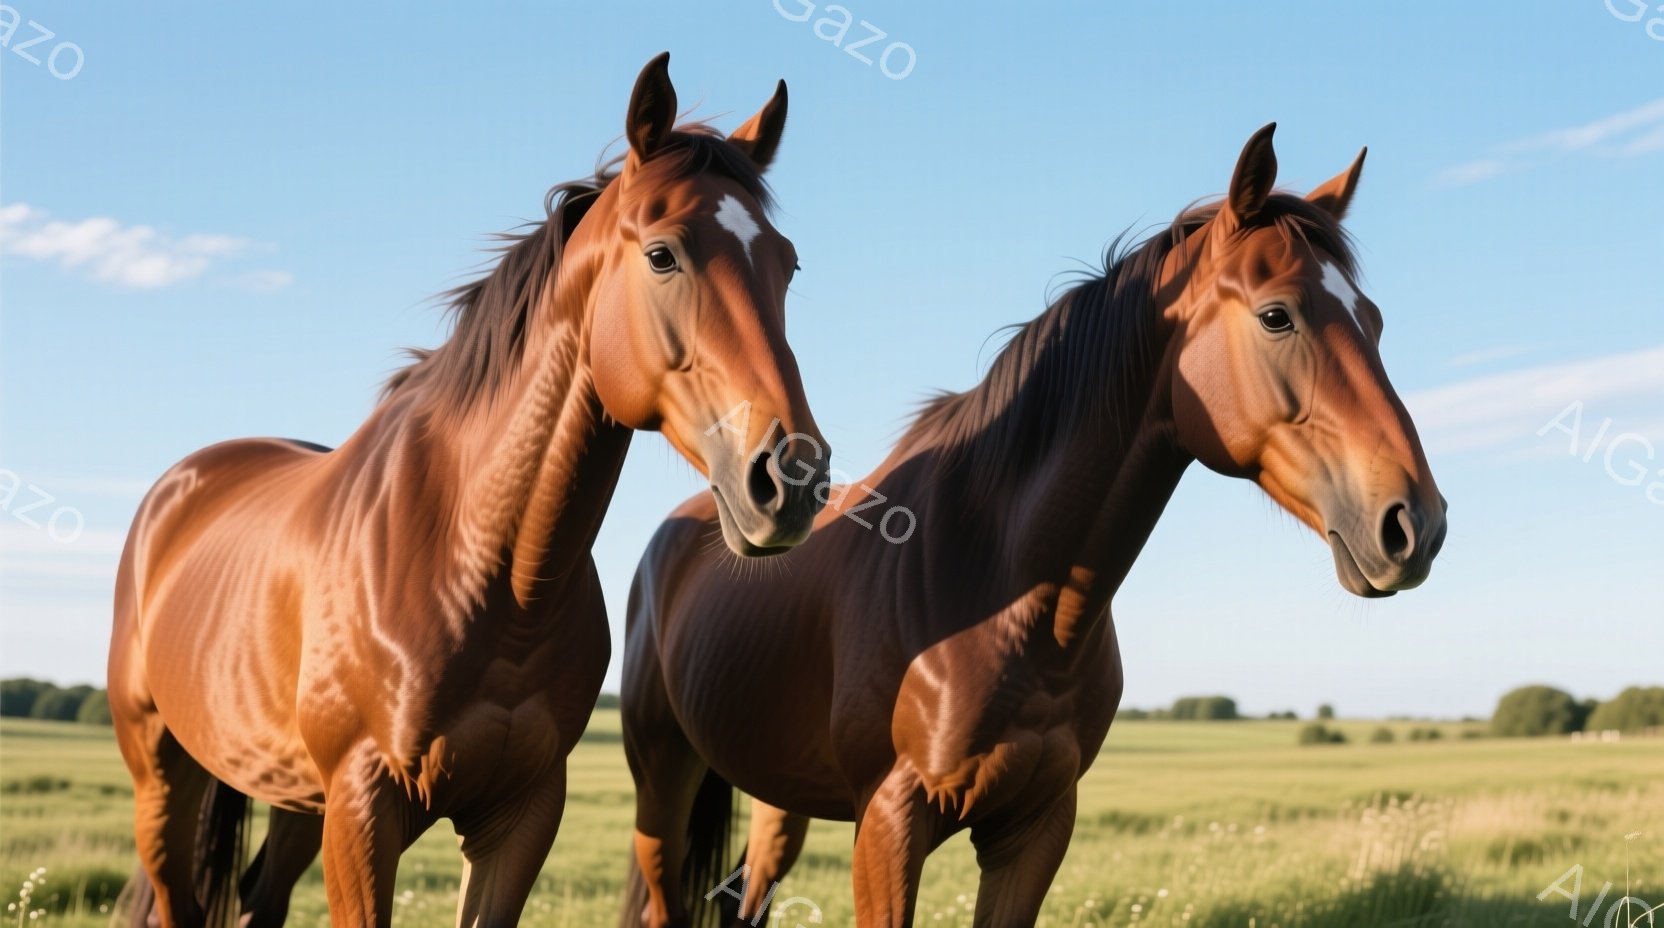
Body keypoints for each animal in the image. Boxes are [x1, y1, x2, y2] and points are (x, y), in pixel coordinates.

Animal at [107, 52, 830, 928]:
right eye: (664, 254)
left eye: (788, 263)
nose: (791, 478)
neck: (484, 568)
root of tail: (183, 487)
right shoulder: (364, 808)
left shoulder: (518, 816)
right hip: (163, 775)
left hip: (295, 802)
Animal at [619, 124, 1449, 928]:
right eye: (1278, 315)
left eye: (1373, 320)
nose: (1417, 525)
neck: (1002, 588)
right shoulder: (888, 822)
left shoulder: (1036, 828)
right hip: (662, 776)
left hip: (775, 795)